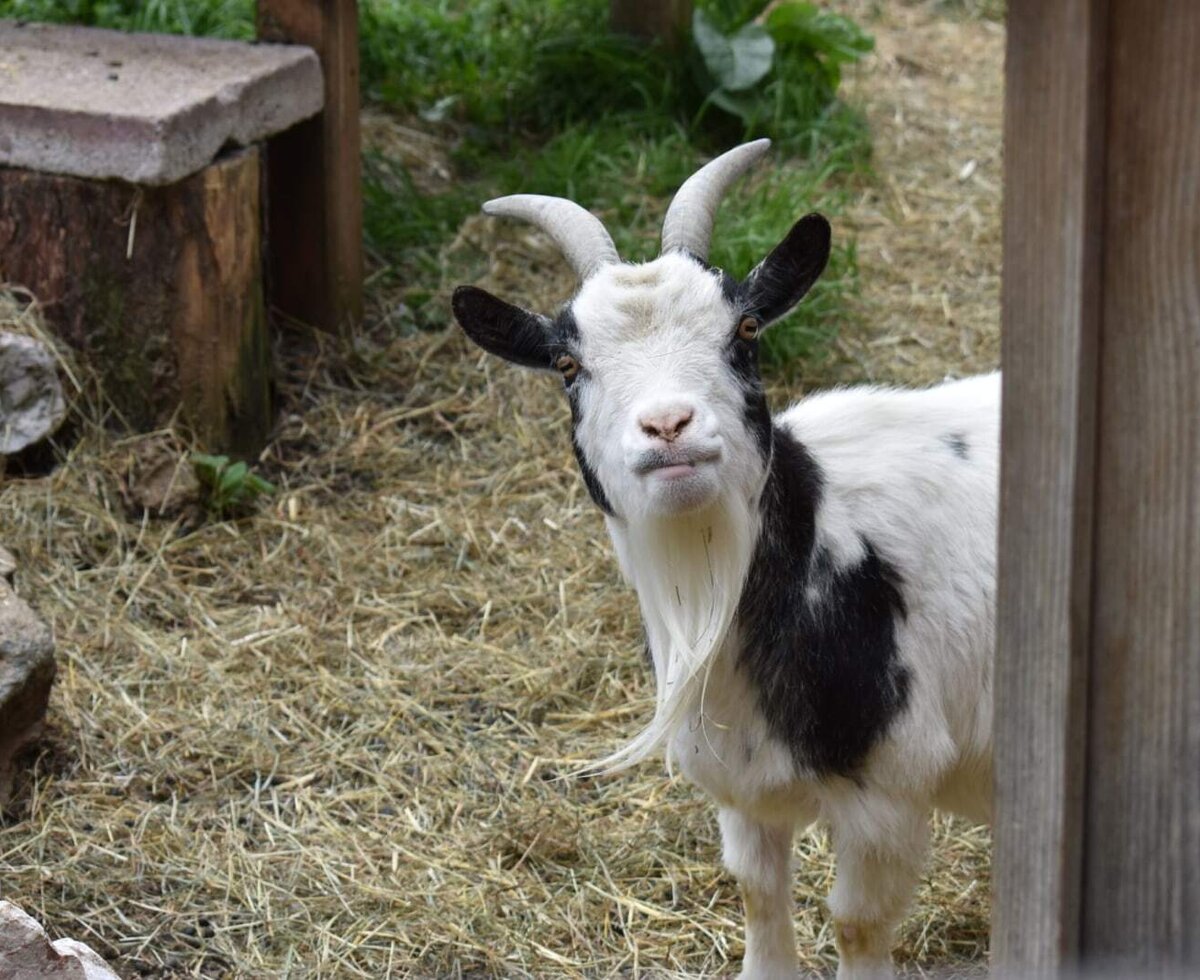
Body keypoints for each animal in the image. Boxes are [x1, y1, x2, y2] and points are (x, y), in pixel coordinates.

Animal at [451, 140, 997, 980]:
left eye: (742, 330)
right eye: (568, 366)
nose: (668, 425)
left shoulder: (889, 798)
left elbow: (857, 924)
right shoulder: (742, 796)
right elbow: (757, 896)